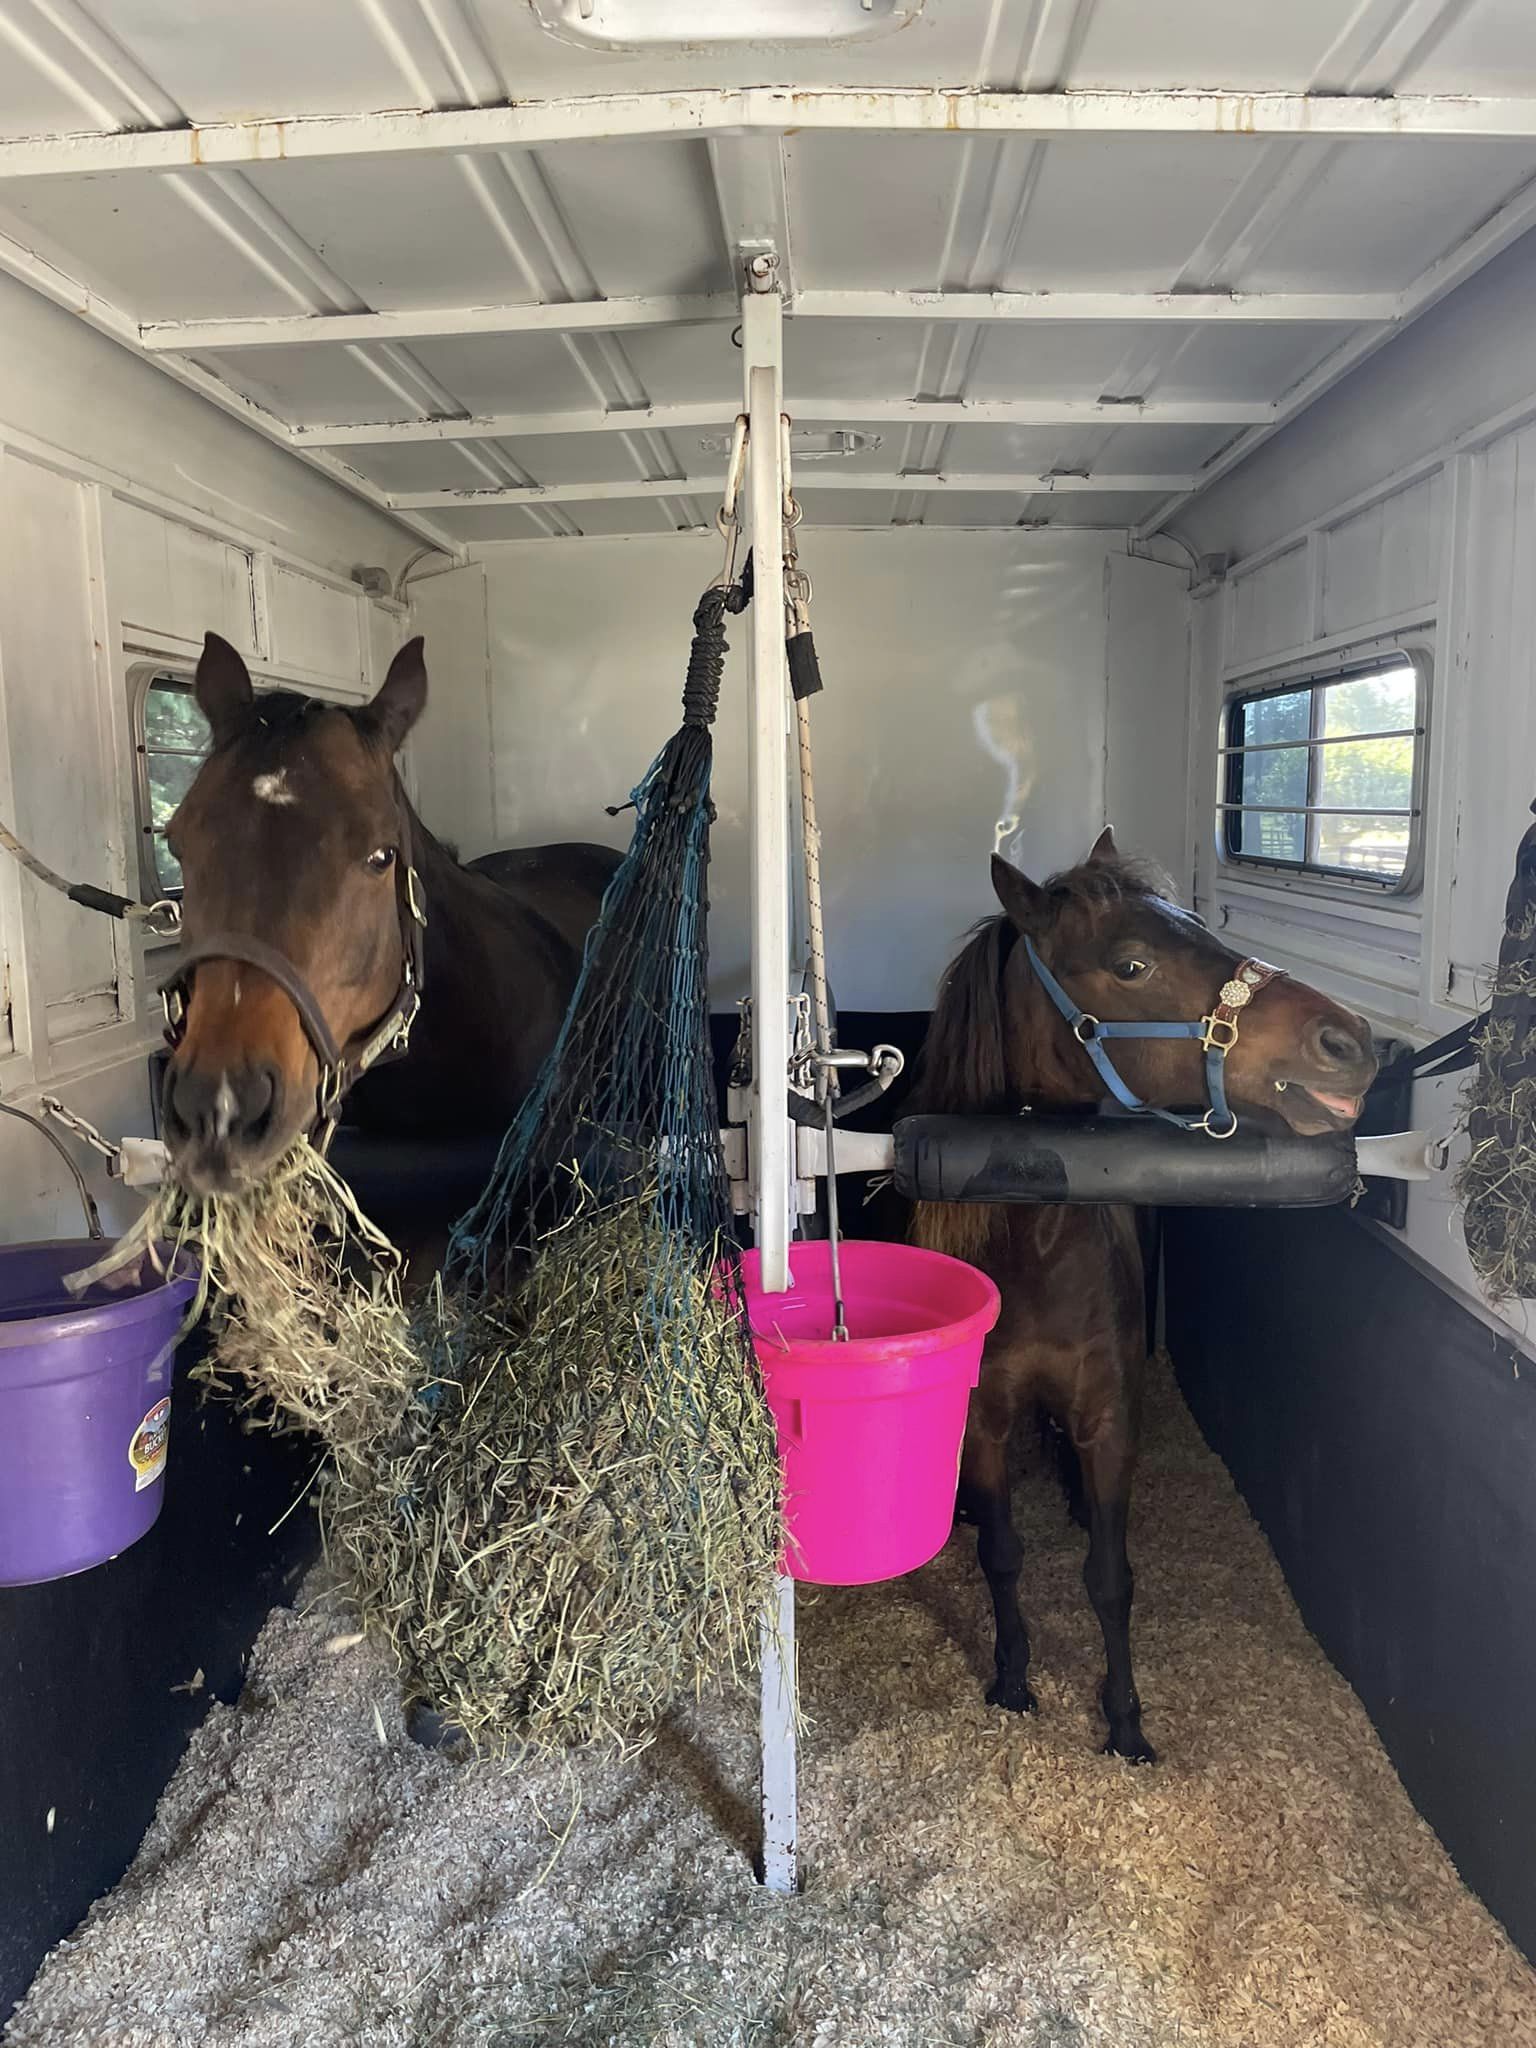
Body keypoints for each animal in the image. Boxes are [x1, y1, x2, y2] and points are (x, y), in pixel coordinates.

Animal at [910, 829, 1378, 1762]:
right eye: (1130, 964)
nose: (1348, 1040)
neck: (1035, 1253)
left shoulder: (1109, 1413)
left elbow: (1110, 1579)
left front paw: (1125, 1719)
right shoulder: (983, 1418)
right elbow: (1004, 1556)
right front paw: (1012, 1679)